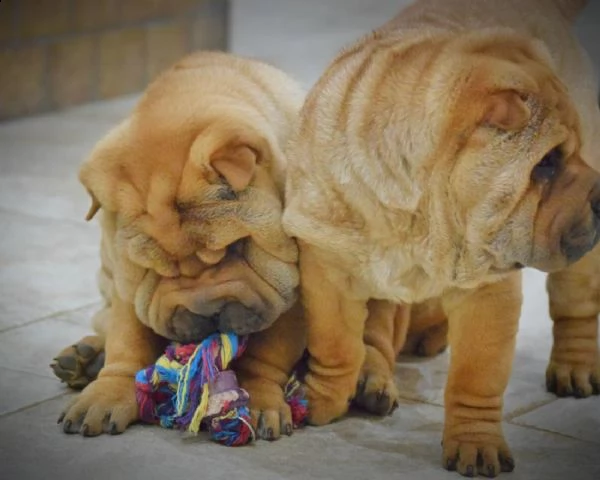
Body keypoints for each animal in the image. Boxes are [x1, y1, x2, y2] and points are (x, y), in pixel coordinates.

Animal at [233, 0, 600, 474]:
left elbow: (477, 375)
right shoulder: (328, 269)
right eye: (548, 163)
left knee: (576, 307)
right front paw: (322, 399)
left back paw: (575, 369)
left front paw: (475, 442)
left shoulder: (488, 291)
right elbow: (336, 344)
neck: (423, 216)